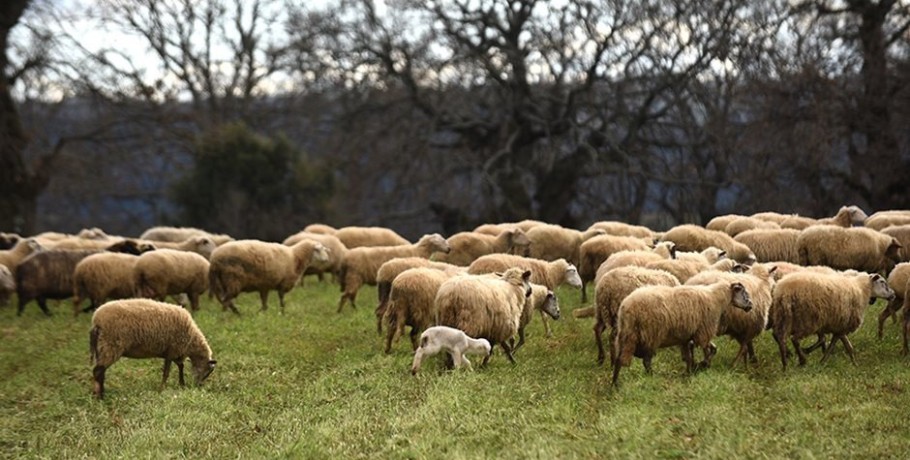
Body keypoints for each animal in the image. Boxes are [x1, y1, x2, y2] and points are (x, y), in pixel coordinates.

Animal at [89, 298, 219, 398]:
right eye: (208, 372)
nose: (199, 385)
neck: (191, 340)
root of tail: (96, 320)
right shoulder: (172, 350)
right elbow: (166, 372)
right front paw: (162, 389)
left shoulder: (175, 352)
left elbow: (180, 366)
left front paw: (182, 384)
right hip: (110, 346)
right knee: (98, 371)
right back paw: (99, 396)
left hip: (102, 348)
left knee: (100, 371)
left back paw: (99, 392)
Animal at [612, 282, 756, 386]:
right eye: (744, 292)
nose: (750, 305)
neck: (716, 298)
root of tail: (626, 306)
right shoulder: (703, 331)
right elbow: (707, 351)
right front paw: (703, 365)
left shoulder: (687, 337)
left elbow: (693, 355)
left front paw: (690, 372)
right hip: (650, 335)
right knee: (645, 361)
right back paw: (651, 377)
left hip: (626, 334)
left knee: (619, 359)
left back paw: (615, 384)